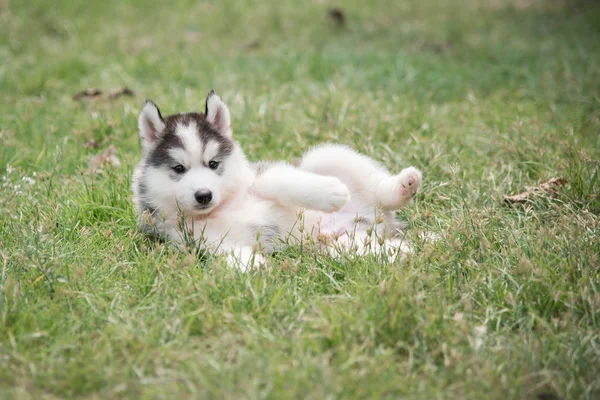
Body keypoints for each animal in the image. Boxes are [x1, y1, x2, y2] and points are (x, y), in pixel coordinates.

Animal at [132, 92, 422, 270]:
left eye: (213, 164)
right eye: (178, 168)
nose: (204, 195)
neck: (221, 208)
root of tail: (380, 221)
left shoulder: (261, 175)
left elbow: (278, 181)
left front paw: (328, 193)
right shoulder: (194, 241)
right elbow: (229, 251)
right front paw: (254, 266)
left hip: (326, 156)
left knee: (376, 186)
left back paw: (402, 186)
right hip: (343, 245)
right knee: (384, 248)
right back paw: (403, 251)